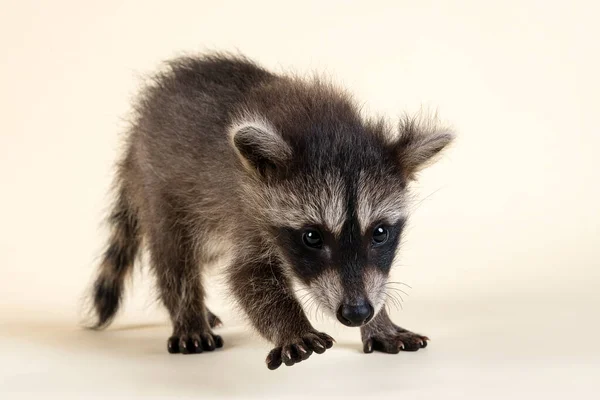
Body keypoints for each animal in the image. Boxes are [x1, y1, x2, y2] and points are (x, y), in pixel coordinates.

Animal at [88, 52, 454, 368]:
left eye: (379, 232)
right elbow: (248, 276)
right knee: (174, 256)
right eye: (312, 237)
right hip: (162, 186)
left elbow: (373, 278)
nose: (356, 313)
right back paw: (188, 315)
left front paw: (380, 320)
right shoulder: (248, 210)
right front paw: (292, 328)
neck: (327, 128)